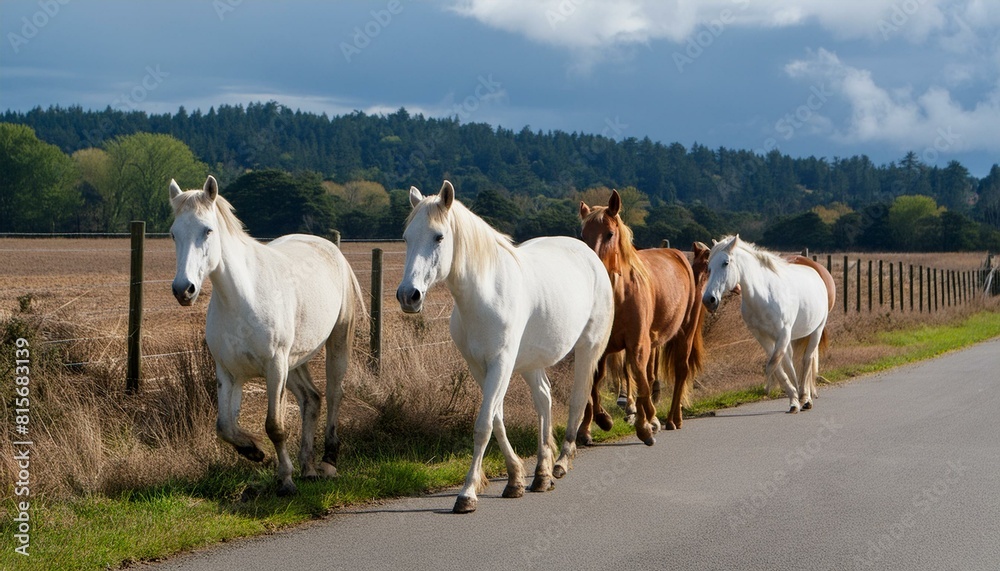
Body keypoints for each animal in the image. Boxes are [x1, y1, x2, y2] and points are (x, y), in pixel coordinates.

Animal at [169, 175, 363, 496]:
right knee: (312, 399)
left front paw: (285, 480)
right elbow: (224, 426)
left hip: (333, 345)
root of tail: (330, 248)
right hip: (295, 361)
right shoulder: (229, 373)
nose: (183, 290)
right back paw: (308, 467)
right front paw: (255, 451)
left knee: (334, 393)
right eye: (174, 234)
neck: (242, 298)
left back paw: (327, 463)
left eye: (207, 230)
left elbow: (275, 425)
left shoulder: (274, 367)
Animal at [396, 181, 613, 513]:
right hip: (531, 361)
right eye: (406, 237)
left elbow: (484, 424)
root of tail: (590, 256)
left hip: (588, 348)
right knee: (544, 399)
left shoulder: (501, 364)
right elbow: (496, 420)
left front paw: (467, 494)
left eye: (439, 236)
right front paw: (514, 479)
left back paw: (561, 463)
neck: (485, 294)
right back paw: (542, 474)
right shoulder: (479, 367)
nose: (409, 296)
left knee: (578, 399)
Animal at [578, 191, 706, 446]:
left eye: (610, 233)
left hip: (685, 332)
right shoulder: (602, 347)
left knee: (680, 370)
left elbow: (640, 378)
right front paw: (595, 423)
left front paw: (645, 426)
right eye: (582, 235)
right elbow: (595, 383)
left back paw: (671, 419)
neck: (619, 295)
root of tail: (678, 254)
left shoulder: (637, 343)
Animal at [701, 235, 833, 413]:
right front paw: (793, 399)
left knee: (807, 360)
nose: (709, 300)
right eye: (709, 266)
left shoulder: (783, 334)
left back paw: (806, 397)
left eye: (725, 263)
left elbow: (775, 364)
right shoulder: (763, 337)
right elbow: (778, 366)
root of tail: (815, 272)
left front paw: (797, 397)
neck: (764, 297)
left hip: (816, 331)